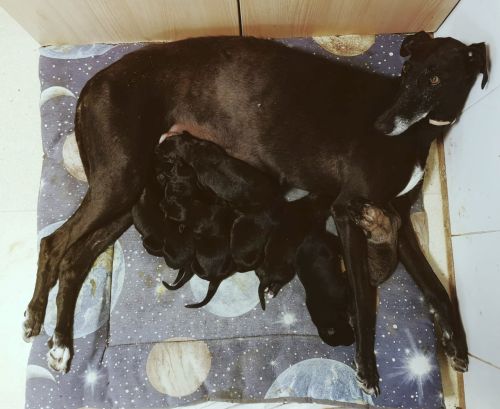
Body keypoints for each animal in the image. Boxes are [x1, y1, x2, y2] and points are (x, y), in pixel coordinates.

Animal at [24, 33, 486, 393]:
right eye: (406, 73)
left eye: (435, 78)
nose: (381, 125)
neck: (416, 134)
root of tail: (94, 82)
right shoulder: (347, 210)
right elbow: (365, 302)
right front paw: (367, 371)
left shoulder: (398, 218)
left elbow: (437, 289)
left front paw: (458, 346)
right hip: (119, 179)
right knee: (55, 243)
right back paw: (45, 328)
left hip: (129, 192)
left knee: (76, 257)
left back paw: (59, 339)